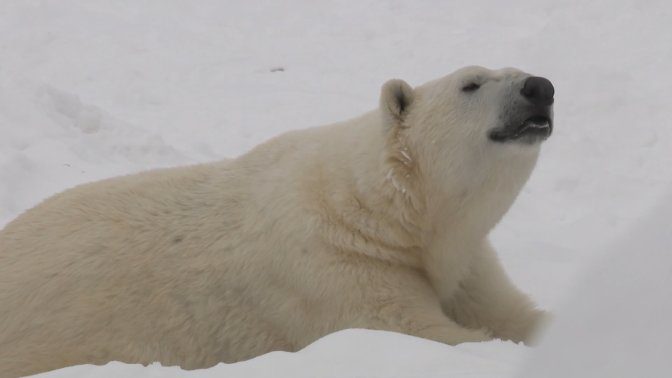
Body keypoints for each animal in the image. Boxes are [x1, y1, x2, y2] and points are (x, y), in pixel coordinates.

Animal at [1, 65, 556, 376]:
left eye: (515, 69)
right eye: (471, 83)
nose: (540, 87)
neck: (379, 212)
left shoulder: (463, 266)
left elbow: (510, 311)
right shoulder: (333, 271)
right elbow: (426, 332)